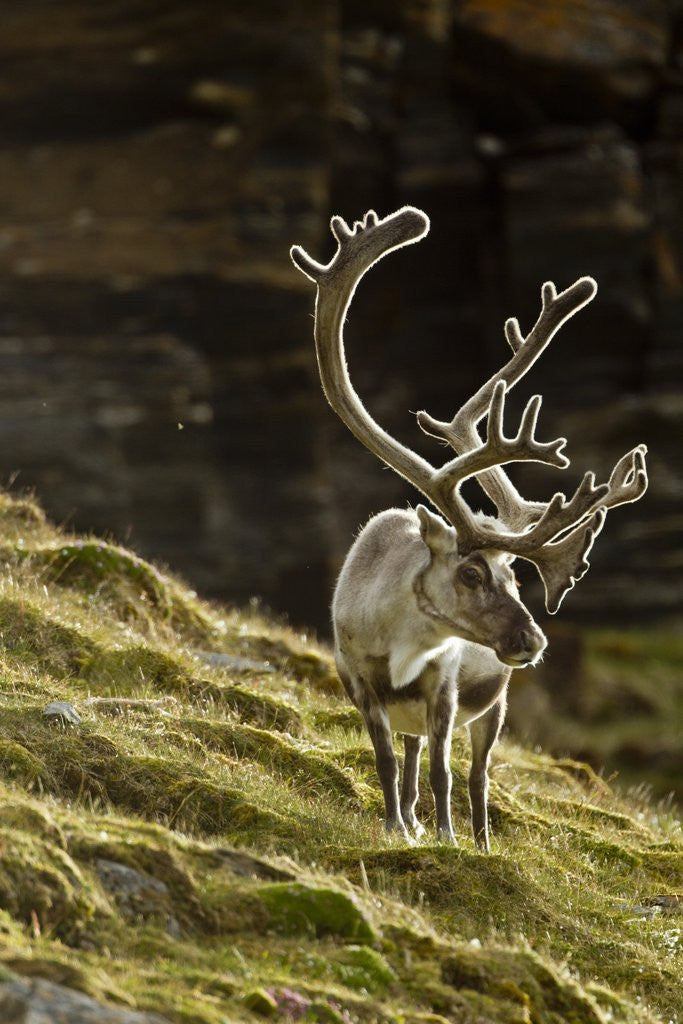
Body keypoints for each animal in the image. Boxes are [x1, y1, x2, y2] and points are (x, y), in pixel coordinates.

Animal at [290, 206, 648, 851]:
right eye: (472, 572)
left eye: (517, 577)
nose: (534, 640)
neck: (400, 642)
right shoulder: (359, 680)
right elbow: (387, 761)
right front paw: (395, 827)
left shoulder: (447, 688)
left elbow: (445, 773)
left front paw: (450, 839)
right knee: (410, 758)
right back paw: (409, 818)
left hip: (496, 706)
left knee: (477, 774)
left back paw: (479, 839)